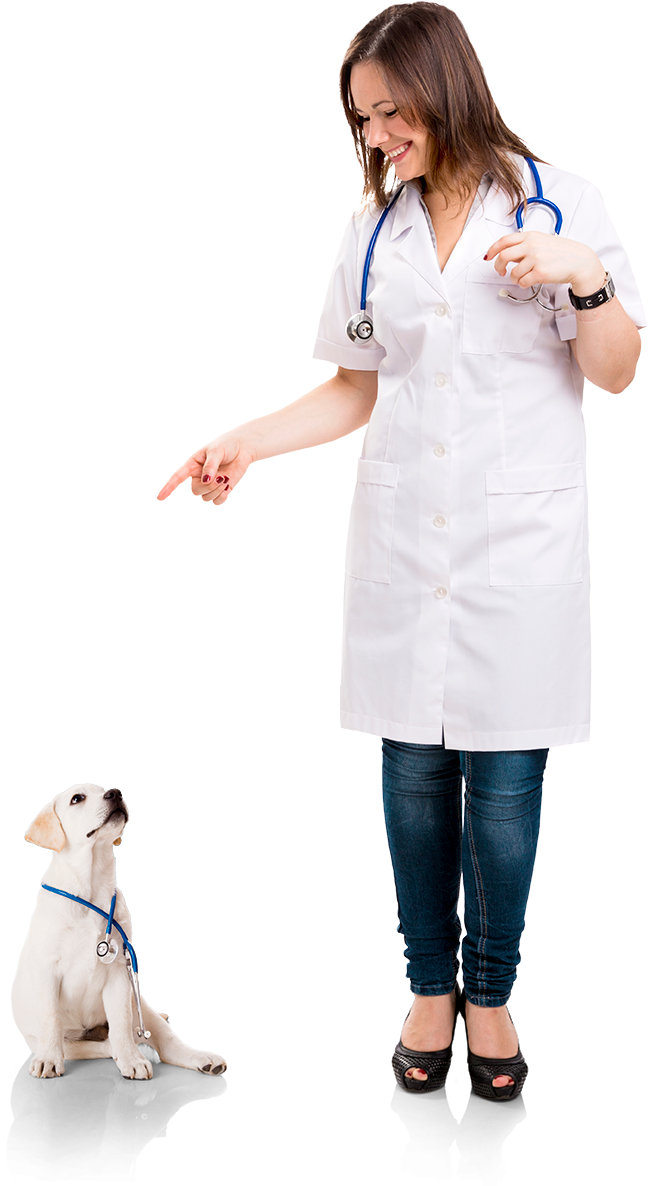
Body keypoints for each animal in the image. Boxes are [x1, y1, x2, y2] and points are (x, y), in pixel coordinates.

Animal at [10, 782, 226, 1081]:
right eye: (77, 798)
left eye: (105, 789)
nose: (115, 793)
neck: (90, 886)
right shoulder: (47, 970)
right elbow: (50, 1018)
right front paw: (49, 1060)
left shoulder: (119, 974)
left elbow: (121, 1021)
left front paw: (131, 1061)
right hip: (66, 1043)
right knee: (98, 1045)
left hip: (142, 1007)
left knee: (162, 1041)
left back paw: (199, 1058)